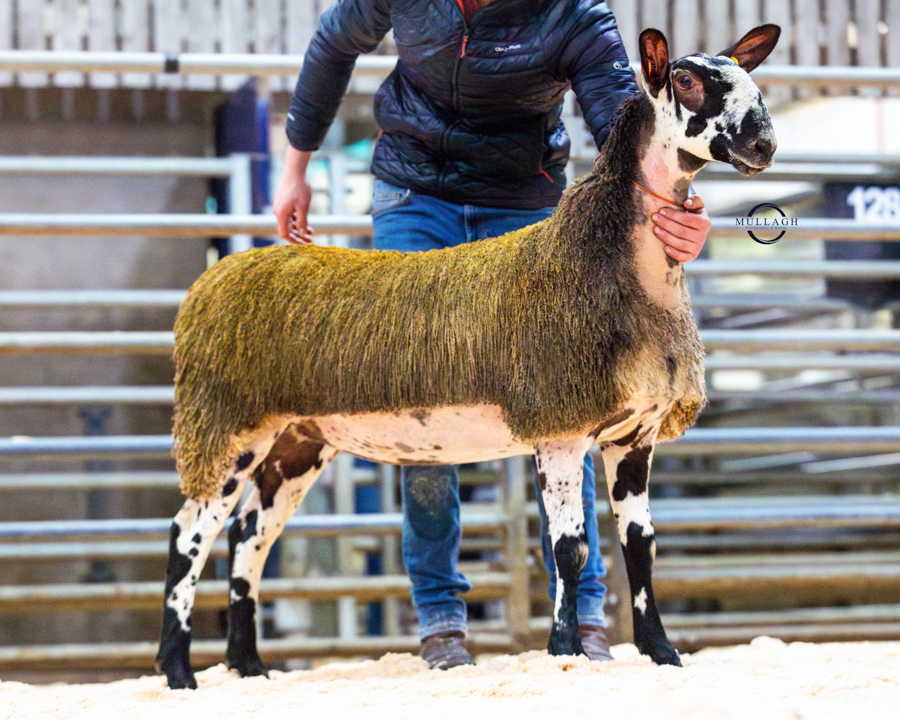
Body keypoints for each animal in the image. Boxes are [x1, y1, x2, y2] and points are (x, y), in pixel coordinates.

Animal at [156, 23, 780, 688]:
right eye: (685, 80)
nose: (764, 143)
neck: (603, 262)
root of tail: (213, 280)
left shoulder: (632, 437)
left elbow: (640, 546)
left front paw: (662, 652)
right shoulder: (559, 428)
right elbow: (569, 549)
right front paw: (565, 650)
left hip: (297, 440)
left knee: (248, 536)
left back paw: (248, 665)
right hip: (228, 423)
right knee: (188, 534)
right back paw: (178, 671)